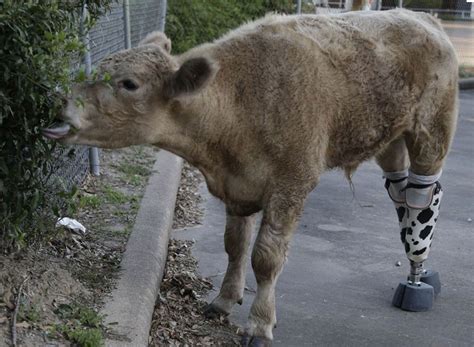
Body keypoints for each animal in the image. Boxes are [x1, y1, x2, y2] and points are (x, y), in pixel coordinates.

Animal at [44, 8, 460, 346]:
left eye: (129, 83)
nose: (59, 99)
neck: (239, 101)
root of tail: (422, 17)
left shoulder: (292, 185)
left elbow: (265, 259)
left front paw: (260, 324)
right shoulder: (237, 187)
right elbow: (235, 246)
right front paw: (224, 300)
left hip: (432, 134)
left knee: (424, 198)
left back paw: (419, 272)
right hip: (390, 141)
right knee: (400, 193)